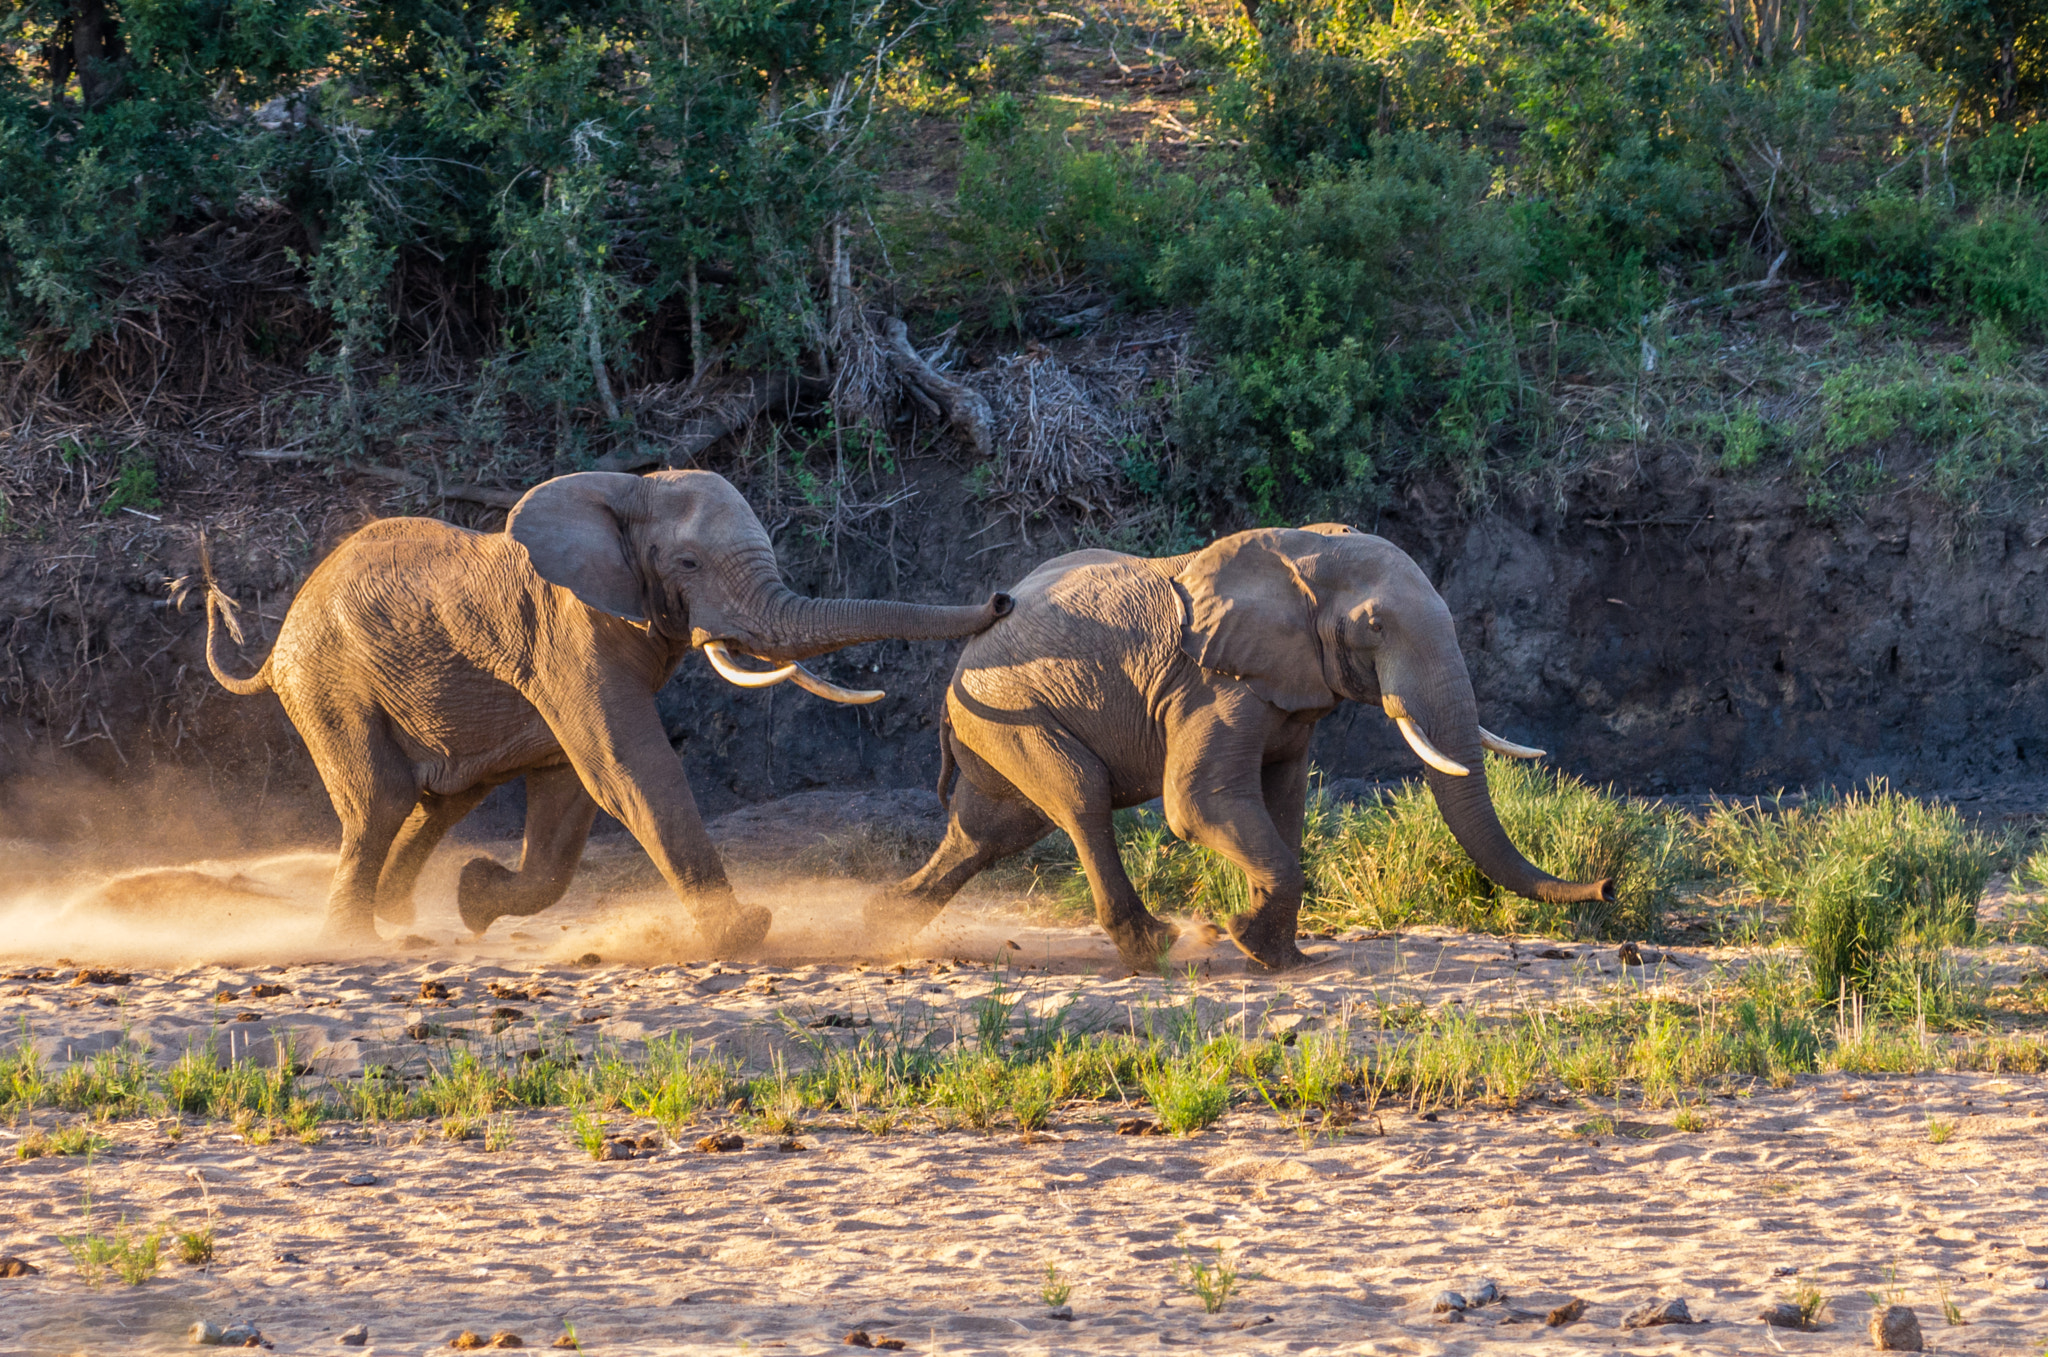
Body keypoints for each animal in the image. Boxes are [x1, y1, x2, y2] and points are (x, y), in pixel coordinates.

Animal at [202, 469, 1010, 950]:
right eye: (688, 565)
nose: (1003, 600)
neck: (631, 488)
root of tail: (276, 643)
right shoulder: (570, 631)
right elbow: (628, 766)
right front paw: (744, 934)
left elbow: (571, 792)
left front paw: (476, 899)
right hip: (328, 680)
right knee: (383, 797)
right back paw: (354, 943)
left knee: (445, 798)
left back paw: (410, 920)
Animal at [871, 524, 1611, 972]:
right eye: (1374, 625)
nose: (1604, 884)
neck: (1301, 555)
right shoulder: (1214, 683)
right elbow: (1197, 803)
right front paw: (1248, 940)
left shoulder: (1291, 685)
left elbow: (1283, 800)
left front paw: (1282, 958)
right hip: (1012, 712)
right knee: (1080, 797)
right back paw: (1155, 949)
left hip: (994, 729)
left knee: (989, 831)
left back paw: (872, 921)